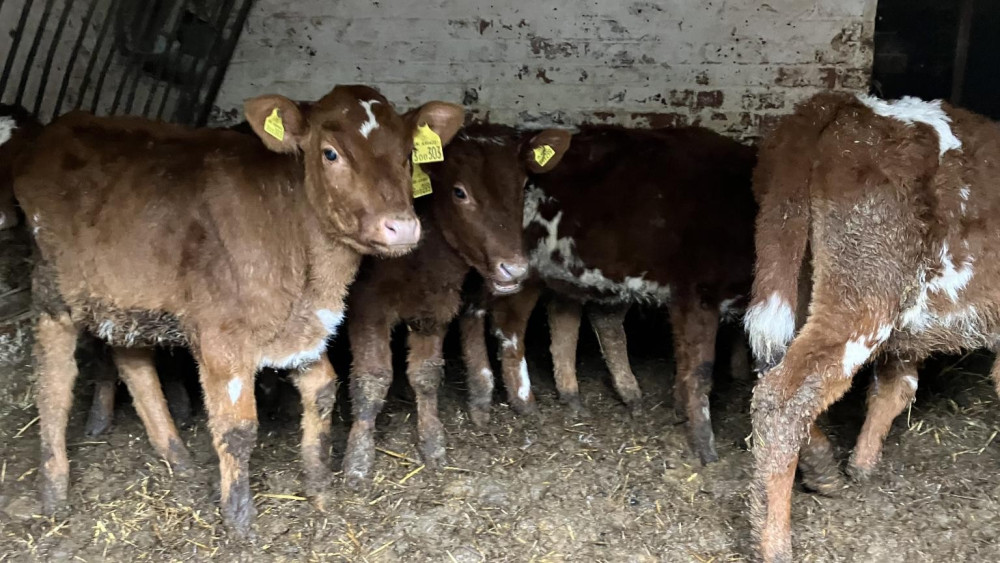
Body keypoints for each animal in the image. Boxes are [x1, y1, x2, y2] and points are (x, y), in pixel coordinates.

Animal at [11, 85, 464, 536]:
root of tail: (66, 125)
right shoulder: (221, 340)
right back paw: (54, 490)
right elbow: (237, 429)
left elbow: (322, 392)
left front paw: (320, 490)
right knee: (53, 382)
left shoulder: (303, 331)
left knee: (135, 365)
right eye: (330, 153)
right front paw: (239, 518)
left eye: (407, 154)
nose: (401, 227)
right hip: (54, 290)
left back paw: (179, 460)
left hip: (125, 298)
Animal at [342, 124, 571, 484]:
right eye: (460, 192)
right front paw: (358, 459)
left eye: (522, 187)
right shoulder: (368, 306)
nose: (515, 268)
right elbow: (372, 380)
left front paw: (432, 441)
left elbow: (426, 375)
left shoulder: (435, 306)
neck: (420, 262)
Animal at [461, 125, 758, 465]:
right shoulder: (697, 292)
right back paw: (508, 399)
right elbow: (700, 369)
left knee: (564, 320)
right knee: (504, 321)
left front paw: (681, 407)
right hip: (520, 273)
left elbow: (684, 356)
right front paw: (704, 444)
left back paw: (577, 395)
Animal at [746, 92, 1000, 562]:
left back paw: (823, 468)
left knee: (775, 370)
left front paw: (861, 465)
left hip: (797, 271)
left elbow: (895, 385)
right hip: (865, 293)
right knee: (784, 396)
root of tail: (844, 103)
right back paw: (773, 542)